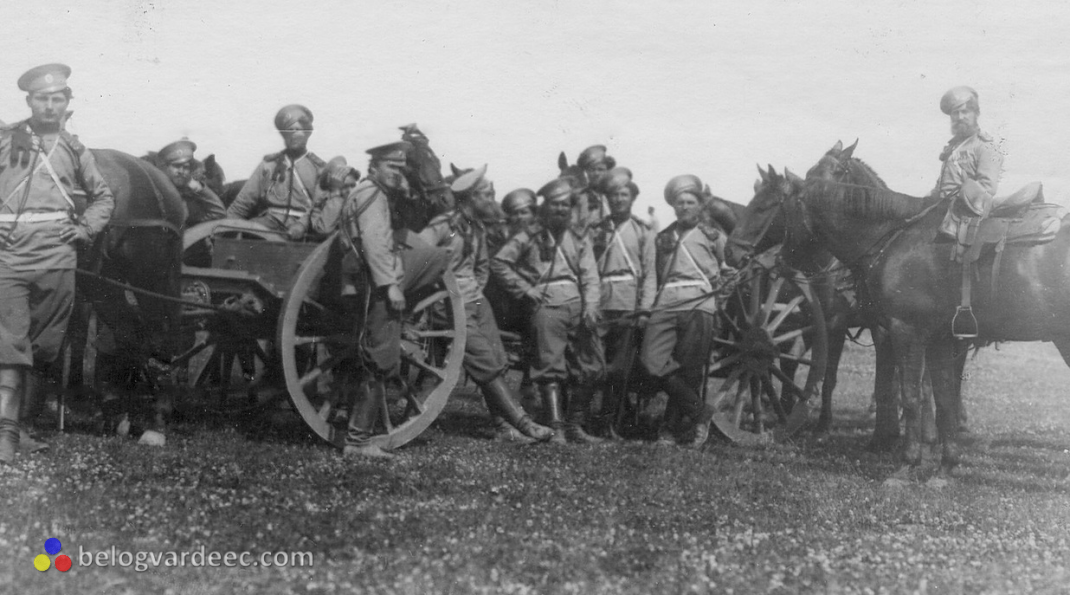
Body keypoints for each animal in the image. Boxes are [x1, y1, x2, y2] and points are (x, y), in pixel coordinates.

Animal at [778, 139, 1070, 475]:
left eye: (838, 170)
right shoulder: (939, 336)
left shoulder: (904, 330)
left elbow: (909, 394)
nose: (780, 262)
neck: (894, 237)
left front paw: (908, 459)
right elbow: (941, 397)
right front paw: (945, 462)